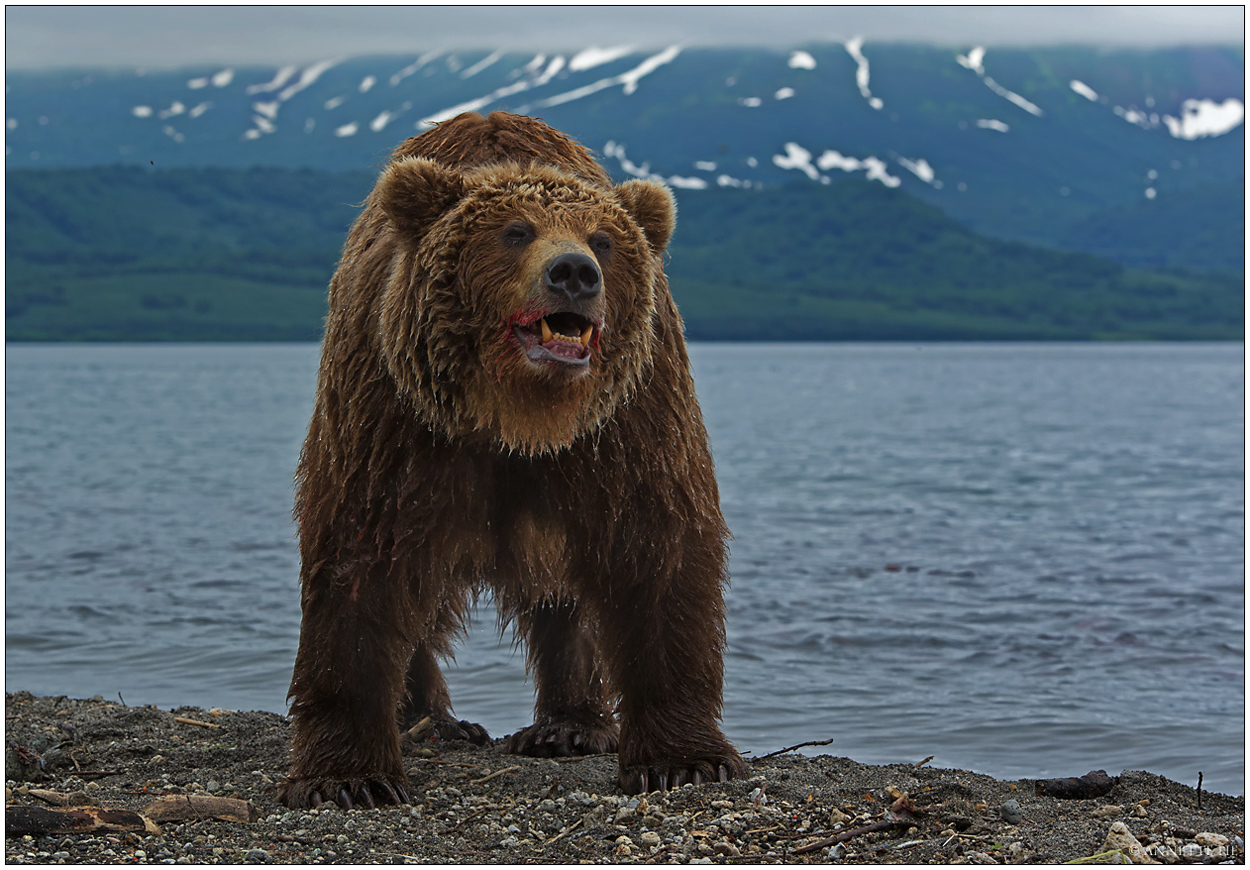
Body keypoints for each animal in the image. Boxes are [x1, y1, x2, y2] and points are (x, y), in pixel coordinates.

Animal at [280, 111, 745, 810]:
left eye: (604, 239)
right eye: (515, 231)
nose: (574, 271)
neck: (517, 417)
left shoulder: (627, 422)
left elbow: (656, 546)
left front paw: (683, 760)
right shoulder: (393, 416)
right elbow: (362, 557)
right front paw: (348, 776)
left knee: (563, 601)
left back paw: (568, 727)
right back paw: (432, 719)